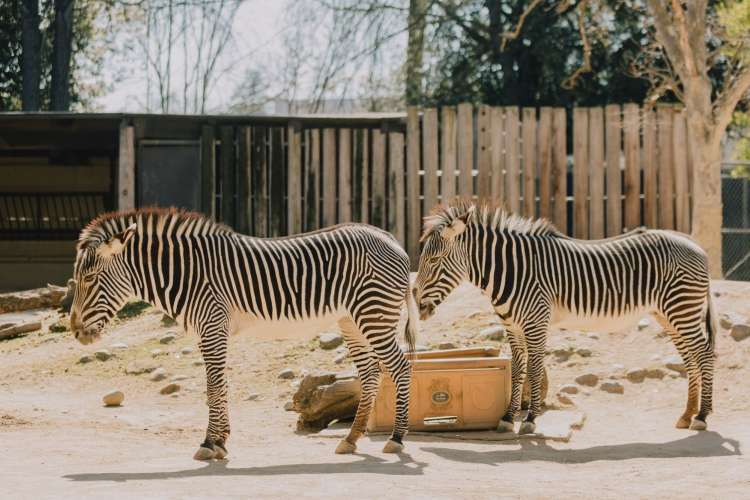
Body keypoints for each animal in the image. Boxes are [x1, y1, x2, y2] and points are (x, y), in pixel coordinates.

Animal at [70, 208, 420, 460]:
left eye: (89, 278)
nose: (74, 330)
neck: (186, 273)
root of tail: (388, 236)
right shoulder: (213, 330)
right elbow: (220, 385)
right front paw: (221, 441)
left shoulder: (212, 326)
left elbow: (212, 387)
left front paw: (209, 443)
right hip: (352, 320)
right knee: (371, 374)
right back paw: (351, 438)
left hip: (374, 313)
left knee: (400, 367)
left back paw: (396, 438)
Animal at [418, 198, 716, 434]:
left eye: (434, 261)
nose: (419, 308)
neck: (511, 270)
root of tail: (692, 241)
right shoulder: (512, 327)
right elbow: (517, 370)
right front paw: (508, 418)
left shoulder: (536, 322)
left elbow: (534, 369)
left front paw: (530, 419)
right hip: (668, 314)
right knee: (690, 358)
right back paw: (687, 414)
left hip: (682, 308)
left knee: (705, 354)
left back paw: (702, 416)